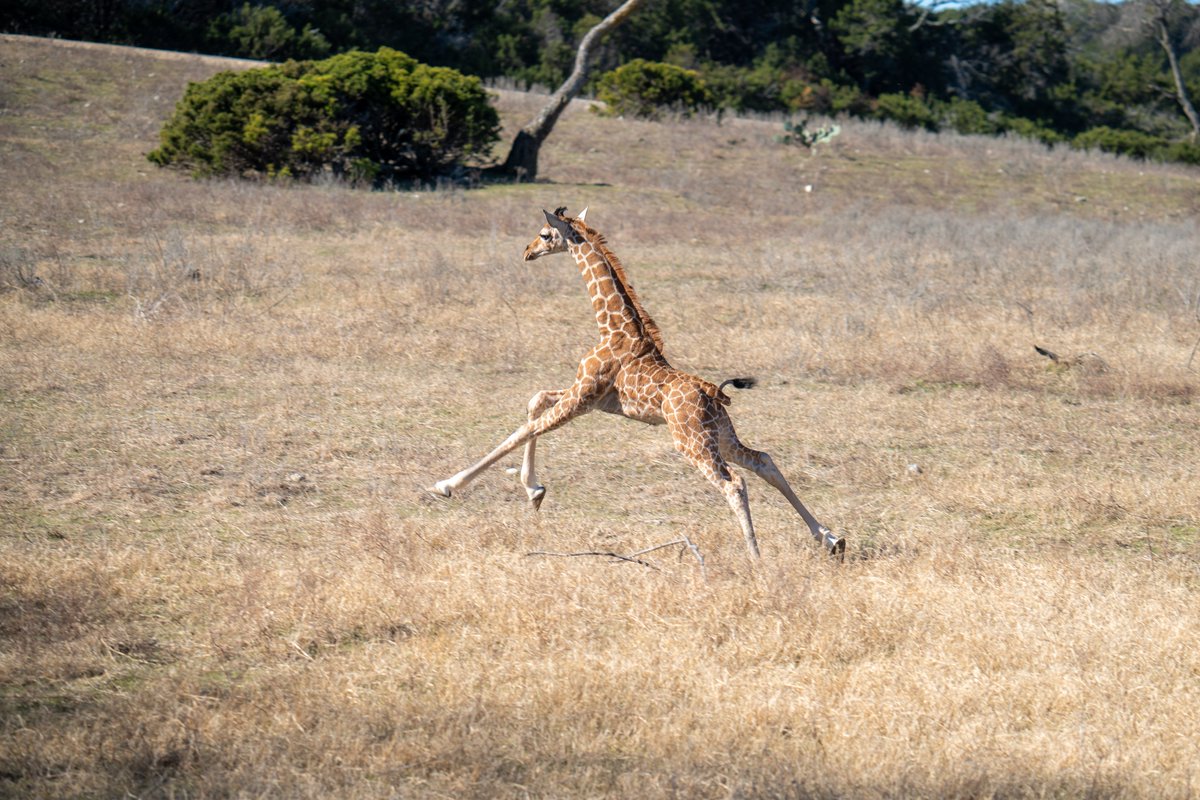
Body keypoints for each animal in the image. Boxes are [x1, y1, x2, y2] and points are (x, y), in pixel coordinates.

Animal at [429, 207, 844, 559]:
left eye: (545, 234)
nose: (528, 251)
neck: (614, 328)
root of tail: (715, 393)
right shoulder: (590, 397)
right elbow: (535, 401)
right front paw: (534, 491)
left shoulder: (582, 398)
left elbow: (524, 429)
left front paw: (448, 484)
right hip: (721, 436)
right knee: (764, 461)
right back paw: (830, 538)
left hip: (691, 441)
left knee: (734, 484)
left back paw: (756, 558)